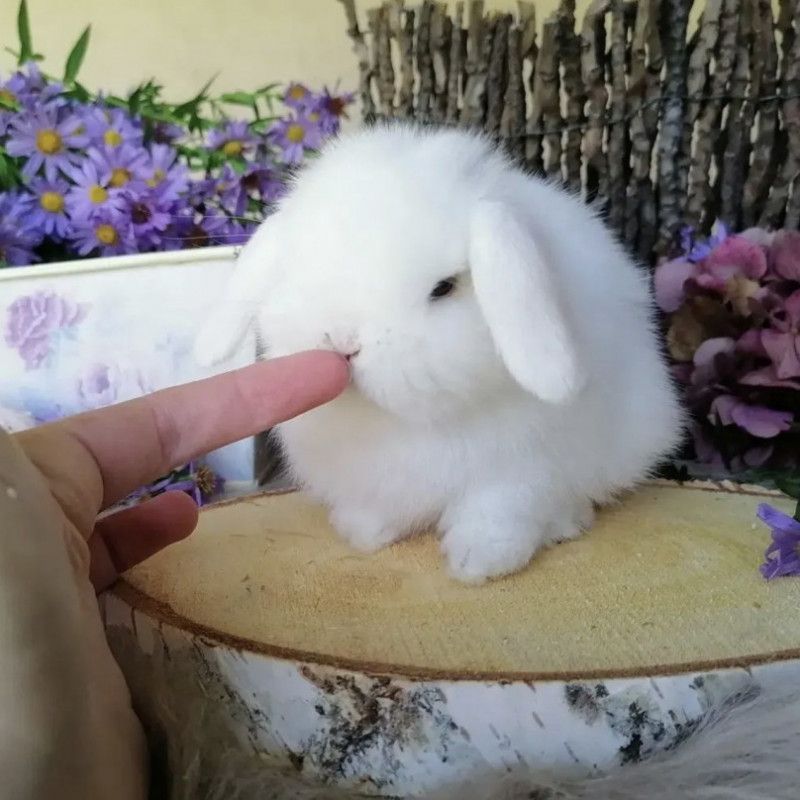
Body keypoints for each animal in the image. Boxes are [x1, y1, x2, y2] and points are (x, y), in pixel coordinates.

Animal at [193, 124, 685, 583]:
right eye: (299, 270)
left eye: (444, 287)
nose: (344, 342)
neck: (408, 423)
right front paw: (363, 531)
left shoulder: (517, 471)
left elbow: (499, 512)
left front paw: (479, 563)